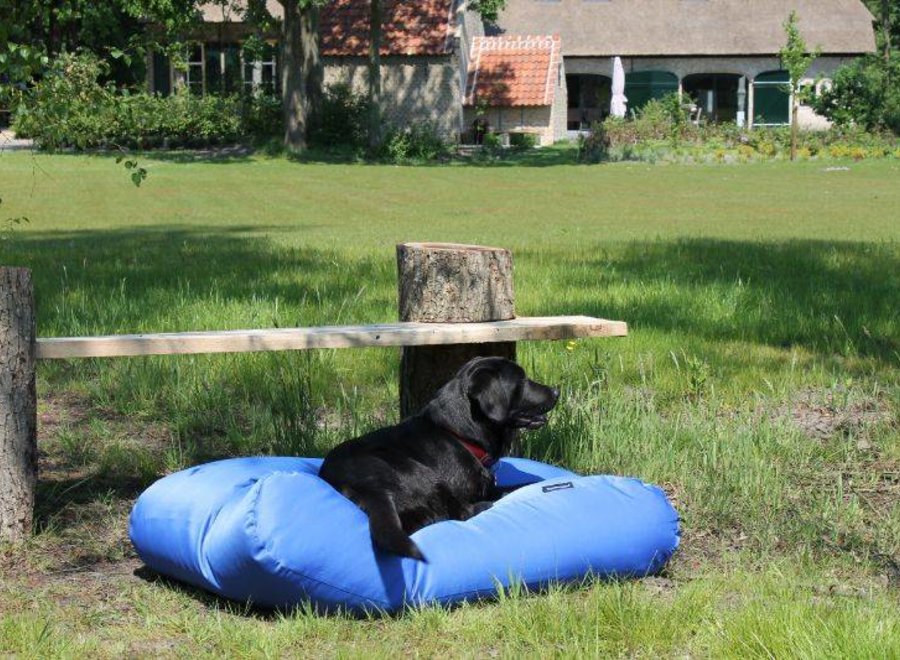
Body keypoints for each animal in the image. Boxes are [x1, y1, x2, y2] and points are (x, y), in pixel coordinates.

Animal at [316, 358, 556, 560]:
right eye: (522, 380)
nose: (556, 390)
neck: (458, 434)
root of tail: (368, 489)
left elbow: (522, 484)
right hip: (421, 474)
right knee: (460, 513)